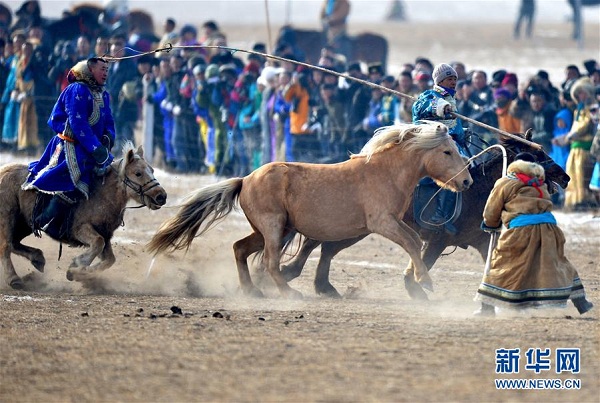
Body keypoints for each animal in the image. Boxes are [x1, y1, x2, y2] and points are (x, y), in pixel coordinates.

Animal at [0, 144, 168, 288]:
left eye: (152, 170)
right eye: (138, 173)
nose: (161, 196)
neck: (102, 194)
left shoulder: (105, 235)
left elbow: (109, 260)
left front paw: (76, 272)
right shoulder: (81, 230)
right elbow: (97, 244)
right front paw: (77, 265)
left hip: (24, 224)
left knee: (14, 243)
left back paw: (37, 258)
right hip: (7, 217)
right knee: (6, 246)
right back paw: (14, 279)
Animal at [146, 121, 474, 298]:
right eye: (447, 151)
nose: (468, 181)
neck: (385, 171)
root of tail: (246, 179)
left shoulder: (392, 222)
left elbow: (415, 241)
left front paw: (420, 280)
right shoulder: (382, 222)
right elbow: (411, 242)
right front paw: (426, 282)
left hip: (271, 231)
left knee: (240, 249)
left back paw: (253, 290)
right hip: (273, 228)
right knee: (270, 262)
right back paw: (289, 293)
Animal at [278, 133, 572, 300]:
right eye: (536, 155)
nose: (565, 177)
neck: (477, 189)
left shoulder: (480, 241)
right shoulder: (438, 240)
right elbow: (424, 260)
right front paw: (416, 288)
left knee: (323, 247)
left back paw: (316, 283)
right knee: (319, 245)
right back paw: (296, 275)